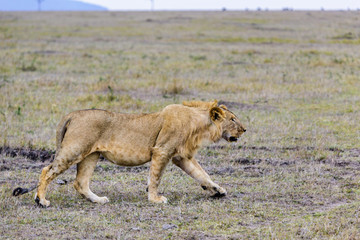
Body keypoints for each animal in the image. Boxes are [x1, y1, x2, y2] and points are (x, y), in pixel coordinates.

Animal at [33, 99, 246, 206]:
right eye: (233, 119)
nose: (244, 130)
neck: (198, 125)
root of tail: (72, 114)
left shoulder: (181, 156)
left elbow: (202, 174)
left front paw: (217, 190)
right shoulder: (162, 151)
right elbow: (156, 177)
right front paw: (155, 199)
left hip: (91, 155)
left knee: (80, 183)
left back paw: (98, 200)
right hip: (75, 150)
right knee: (47, 170)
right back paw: (41, 200)